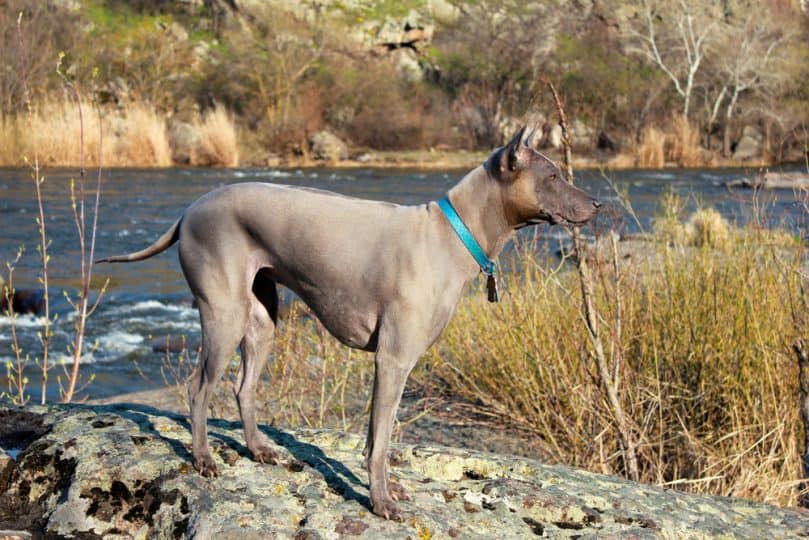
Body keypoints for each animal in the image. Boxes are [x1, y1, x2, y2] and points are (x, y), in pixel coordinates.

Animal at [96, 126, 600, 520]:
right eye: (553, 176)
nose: (595, 205)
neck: (451, 234)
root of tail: (189, 209)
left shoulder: (389, 365)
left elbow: (376, 437)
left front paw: (386, 490)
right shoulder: (393, 362)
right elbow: (380, 442)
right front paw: (381, 502)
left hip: (261, 322)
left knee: (244, 388)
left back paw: (259, 449)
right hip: (223, 315)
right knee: (198, 389)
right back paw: (203, 459)